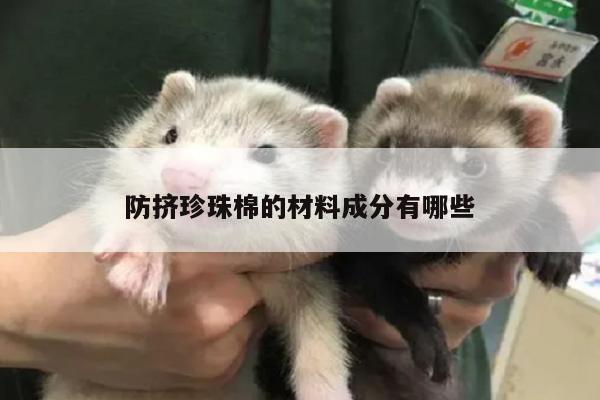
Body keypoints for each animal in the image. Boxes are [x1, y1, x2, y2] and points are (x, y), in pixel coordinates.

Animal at [43, 71, 353, 400]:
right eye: (171, 134)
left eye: (266, 152)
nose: (183, 176)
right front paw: (141, 261)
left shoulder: (304, 276)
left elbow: (322, 340)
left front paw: (327, 391)